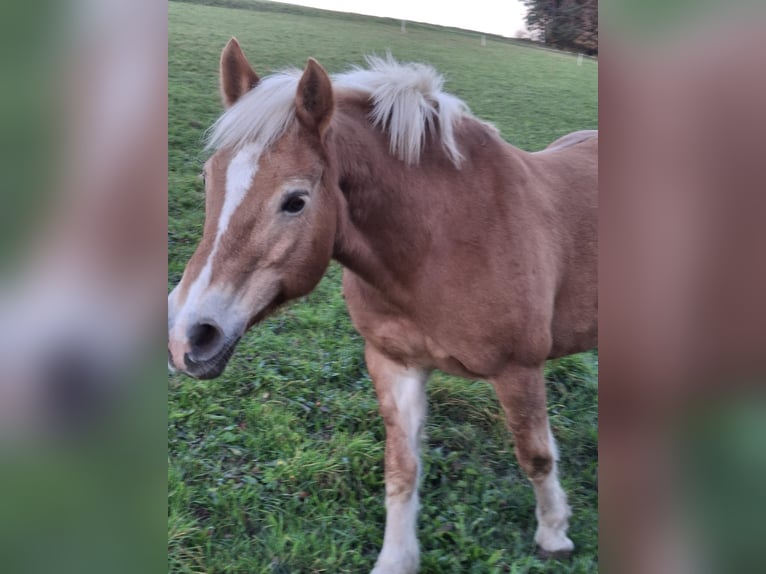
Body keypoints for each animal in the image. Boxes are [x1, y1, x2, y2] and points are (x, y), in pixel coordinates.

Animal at [170, 39, 600, 574]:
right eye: (208, 178)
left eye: (295, 200)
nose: (189, 335)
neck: (439, 242)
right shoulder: (394, 363)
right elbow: (402, 468)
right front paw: (396, 558)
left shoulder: (519, 369)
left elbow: (535, 455)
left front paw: (554, 533)